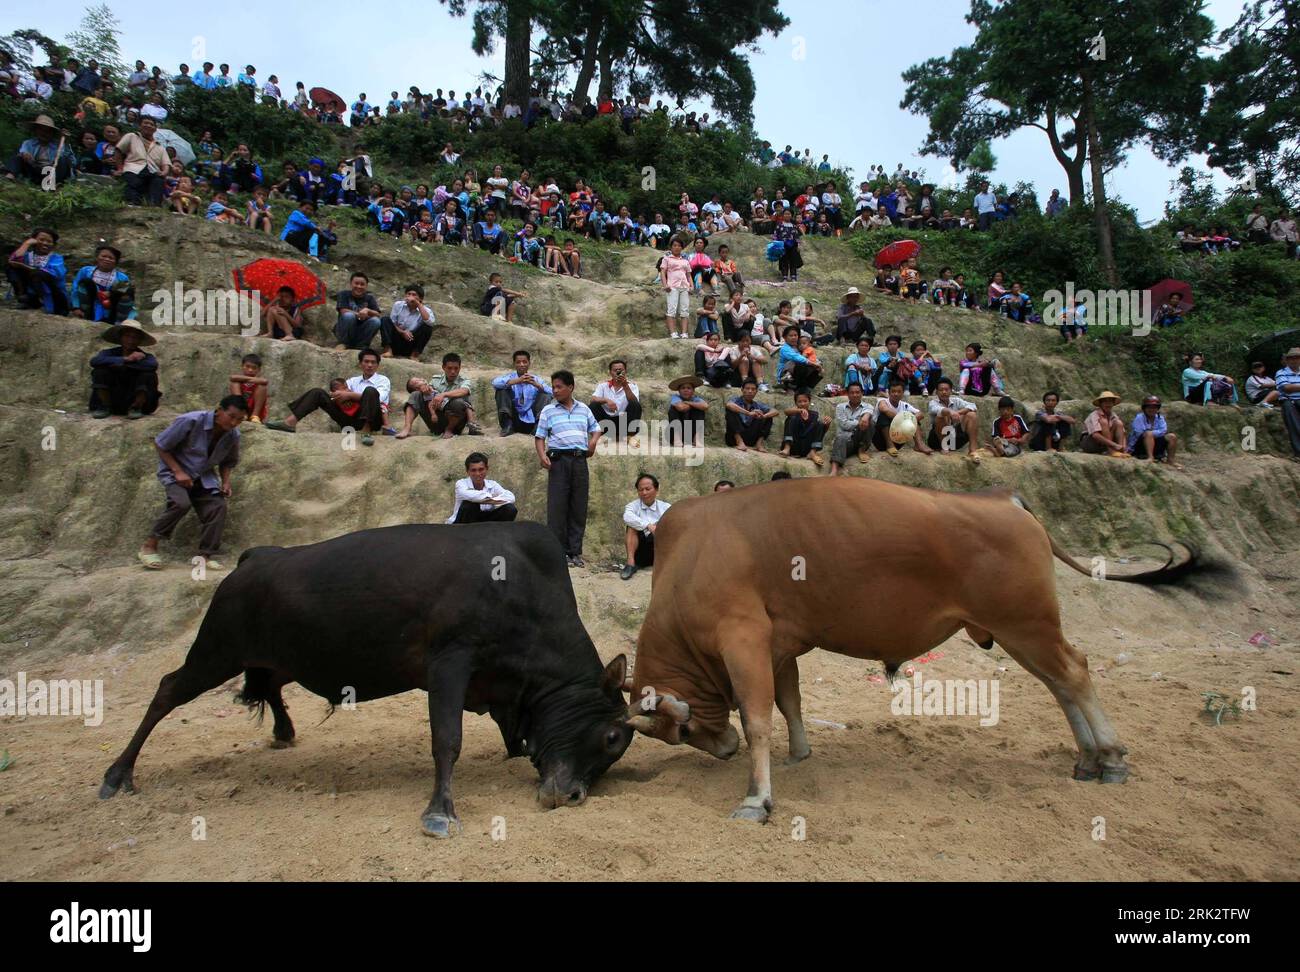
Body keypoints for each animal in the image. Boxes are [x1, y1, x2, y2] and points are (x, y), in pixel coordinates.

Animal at [97, 524, 686, 836]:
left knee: (272, 687)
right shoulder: (449, 662)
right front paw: (440, 811)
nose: (574, 795)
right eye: (612, 737)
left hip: (274, 656)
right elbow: (446, 740)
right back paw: (117, 773)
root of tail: (256, 557)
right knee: (167, 690)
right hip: (215, 650)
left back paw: (284, 732)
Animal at [624, 478, 1201, 821]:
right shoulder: (780, 647)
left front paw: (756, 796)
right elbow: (790, 704)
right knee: (1061, 683)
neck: (690, 557)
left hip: (1027, 625)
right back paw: (1088, 758)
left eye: (684, 732)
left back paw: (1111, 757)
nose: (723, 752)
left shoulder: (744, 639)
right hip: (1022, 632)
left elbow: (758, 717)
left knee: (1076, 674)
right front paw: (800, 754)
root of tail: (1004, 499)